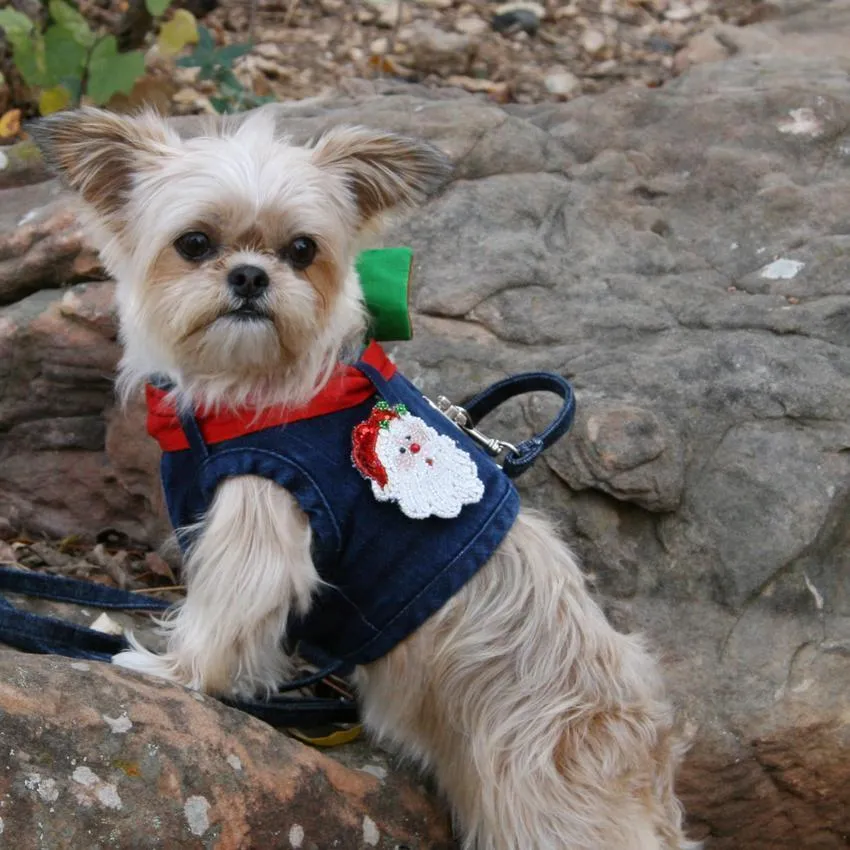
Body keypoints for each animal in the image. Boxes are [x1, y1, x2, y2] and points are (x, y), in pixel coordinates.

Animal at [34, 107, 696, 848]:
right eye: (195, 243)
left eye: (301, 250)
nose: (250, 277)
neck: (260, 385)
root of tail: (648, 761)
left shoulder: (261, 520)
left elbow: (221, 620)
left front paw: (167, 669)